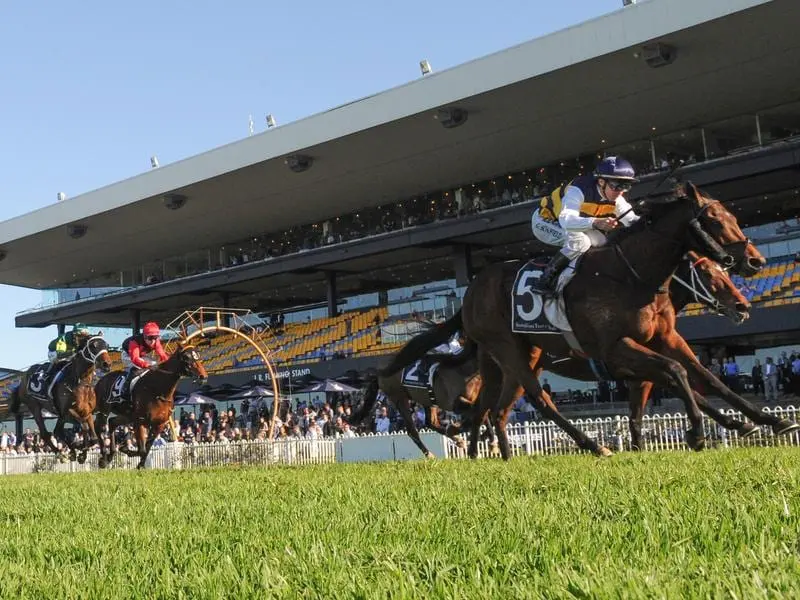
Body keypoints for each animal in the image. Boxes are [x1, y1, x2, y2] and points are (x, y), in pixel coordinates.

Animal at [94, 340, 208, 472]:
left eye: (198, 355)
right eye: (186, 357)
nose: (203, 376)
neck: (158, 389)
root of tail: (101, 380)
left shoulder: (159, 424)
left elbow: (147, 448)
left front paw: (139, 463)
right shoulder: (140, 421)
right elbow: (142, 449)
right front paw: (127, 451)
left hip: (127, 415)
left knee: (112, 422)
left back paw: (111, 454)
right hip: (104, 410)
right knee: (99, 427)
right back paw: (103, 459)